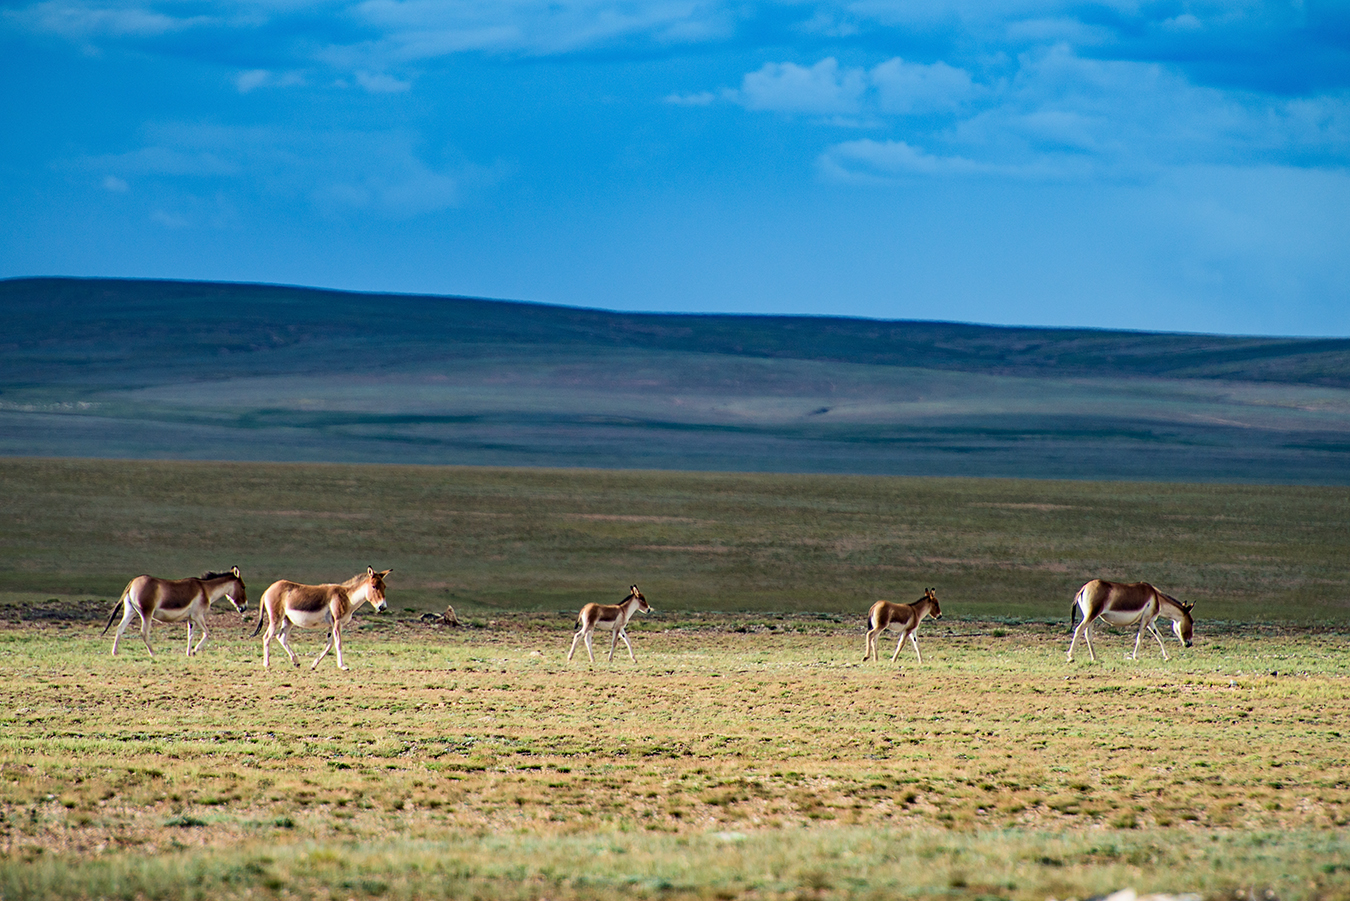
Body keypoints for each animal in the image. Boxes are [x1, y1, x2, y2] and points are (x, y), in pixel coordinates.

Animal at [101, 567, 248, 659]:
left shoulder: (191, 618)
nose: (244, 607)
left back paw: (114, 652)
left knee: (120, 628)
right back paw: (153, 653)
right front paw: (195, 651)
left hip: (130, 611)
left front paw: (189, 653)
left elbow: (190, 635)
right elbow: (207, 633)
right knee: (144, 633)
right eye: (243, 586)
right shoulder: (198, 615)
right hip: (146, 613)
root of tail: (133, 582)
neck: (205, 589)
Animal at [253, 570, 391, 670]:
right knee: (267, 637)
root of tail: (268, 590)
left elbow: (329, 644)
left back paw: (296, 662)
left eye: (384, 586)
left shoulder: (332, 625)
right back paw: (266, 664)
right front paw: (342, 666)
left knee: (281, 637)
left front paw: (314, 665)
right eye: (374, 586)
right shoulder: (337, 623)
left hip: (288, 621)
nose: (383, 607)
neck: (346, 596)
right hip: (275, 619)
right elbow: (338, 643)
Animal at [1063, 578, 1193, 661]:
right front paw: (1136, 657)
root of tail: (1084, 587)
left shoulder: (1150, 621)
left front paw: (1167, 657)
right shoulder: (1146, 619)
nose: (1189, 644)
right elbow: (1140, 636)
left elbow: (1159, 637)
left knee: (1087, 634)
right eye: (1191, 622)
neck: (1156, 597)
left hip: (1091, 617)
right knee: (1078, 629)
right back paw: (1070, 657)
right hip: (1090, 615)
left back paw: (1095, 658)